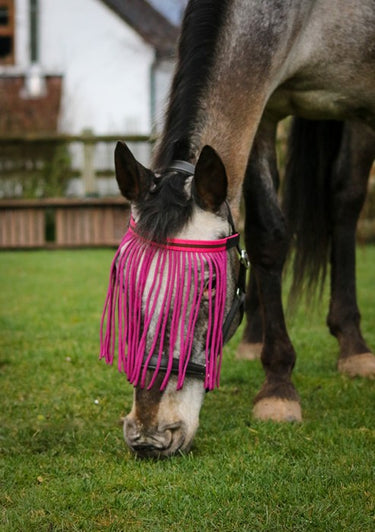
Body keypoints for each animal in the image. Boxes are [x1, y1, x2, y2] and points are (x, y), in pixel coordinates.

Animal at [100, 0, 375, 458]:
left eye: (209, 288)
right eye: (125, 281)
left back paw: (354, 348)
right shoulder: (262, 106)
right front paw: (276, 377)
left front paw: (278, 389)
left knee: (345, 200)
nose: (149, 435)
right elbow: (266, 235)